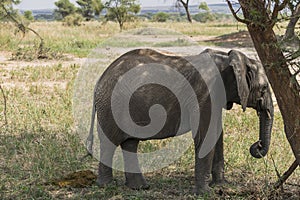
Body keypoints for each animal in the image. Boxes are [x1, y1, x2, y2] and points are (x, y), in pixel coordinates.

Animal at [86, 48, 274, 194]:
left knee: (130, 143)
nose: (257, 145)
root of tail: (100, 79)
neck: (228, 58)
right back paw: (106, 186)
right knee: (109, 143)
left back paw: (140, 187)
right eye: (264, 88)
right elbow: (206, 135)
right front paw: (205, 193)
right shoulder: (204, 94)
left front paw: (221, 185)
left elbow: (217, 134)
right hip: (111, 106)